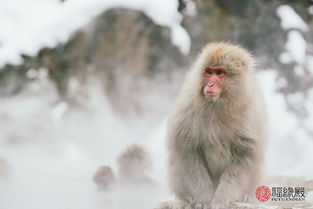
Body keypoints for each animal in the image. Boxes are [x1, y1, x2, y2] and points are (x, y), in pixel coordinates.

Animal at [166, 41, 266, 208]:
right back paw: (187, 197)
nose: (211, 84)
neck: (218, 106)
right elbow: (188, 151)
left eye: (219, 73)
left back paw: (245, 195)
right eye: (209, 72)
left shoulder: (250, 114)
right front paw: (205, 198)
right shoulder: (187, 108)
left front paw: (222, 198)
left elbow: (244, 155)